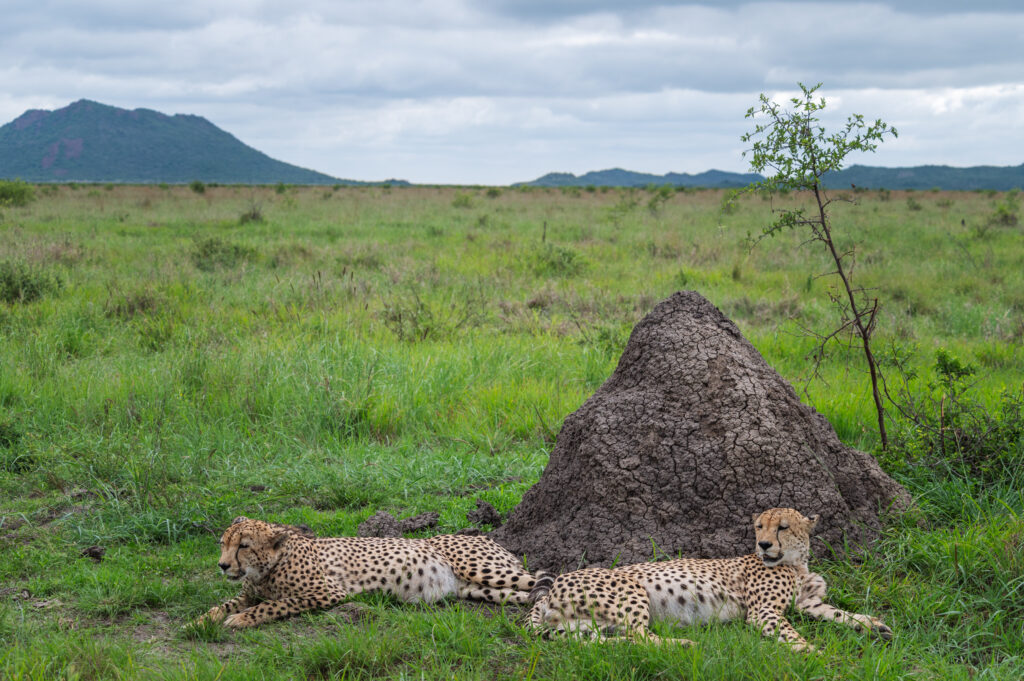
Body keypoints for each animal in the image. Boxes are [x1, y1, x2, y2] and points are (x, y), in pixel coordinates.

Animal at [192, 516, 544, 626]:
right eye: (223, 544)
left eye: (243, 546)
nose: (223, 565)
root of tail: (488, 538)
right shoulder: (247, 591)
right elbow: (221, 605)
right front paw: (197, 622)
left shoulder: (328, 592)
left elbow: (275, 604)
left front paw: (240, 619)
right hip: (479, 588)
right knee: (527, 593)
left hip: (480, 568)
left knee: (546, 574)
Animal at [532, 507, 892, 651]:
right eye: (759, 527)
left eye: (783, 527)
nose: (764, 545)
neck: (795, 563)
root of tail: (552, 589)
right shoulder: (763, 612)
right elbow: (791, 633)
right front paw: (811, 650)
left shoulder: (807, 603)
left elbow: (839, 613)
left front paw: (873, 625)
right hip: (630, 591)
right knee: (640, 637)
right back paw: (683, 645)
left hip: (586, 626)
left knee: (609, 640)